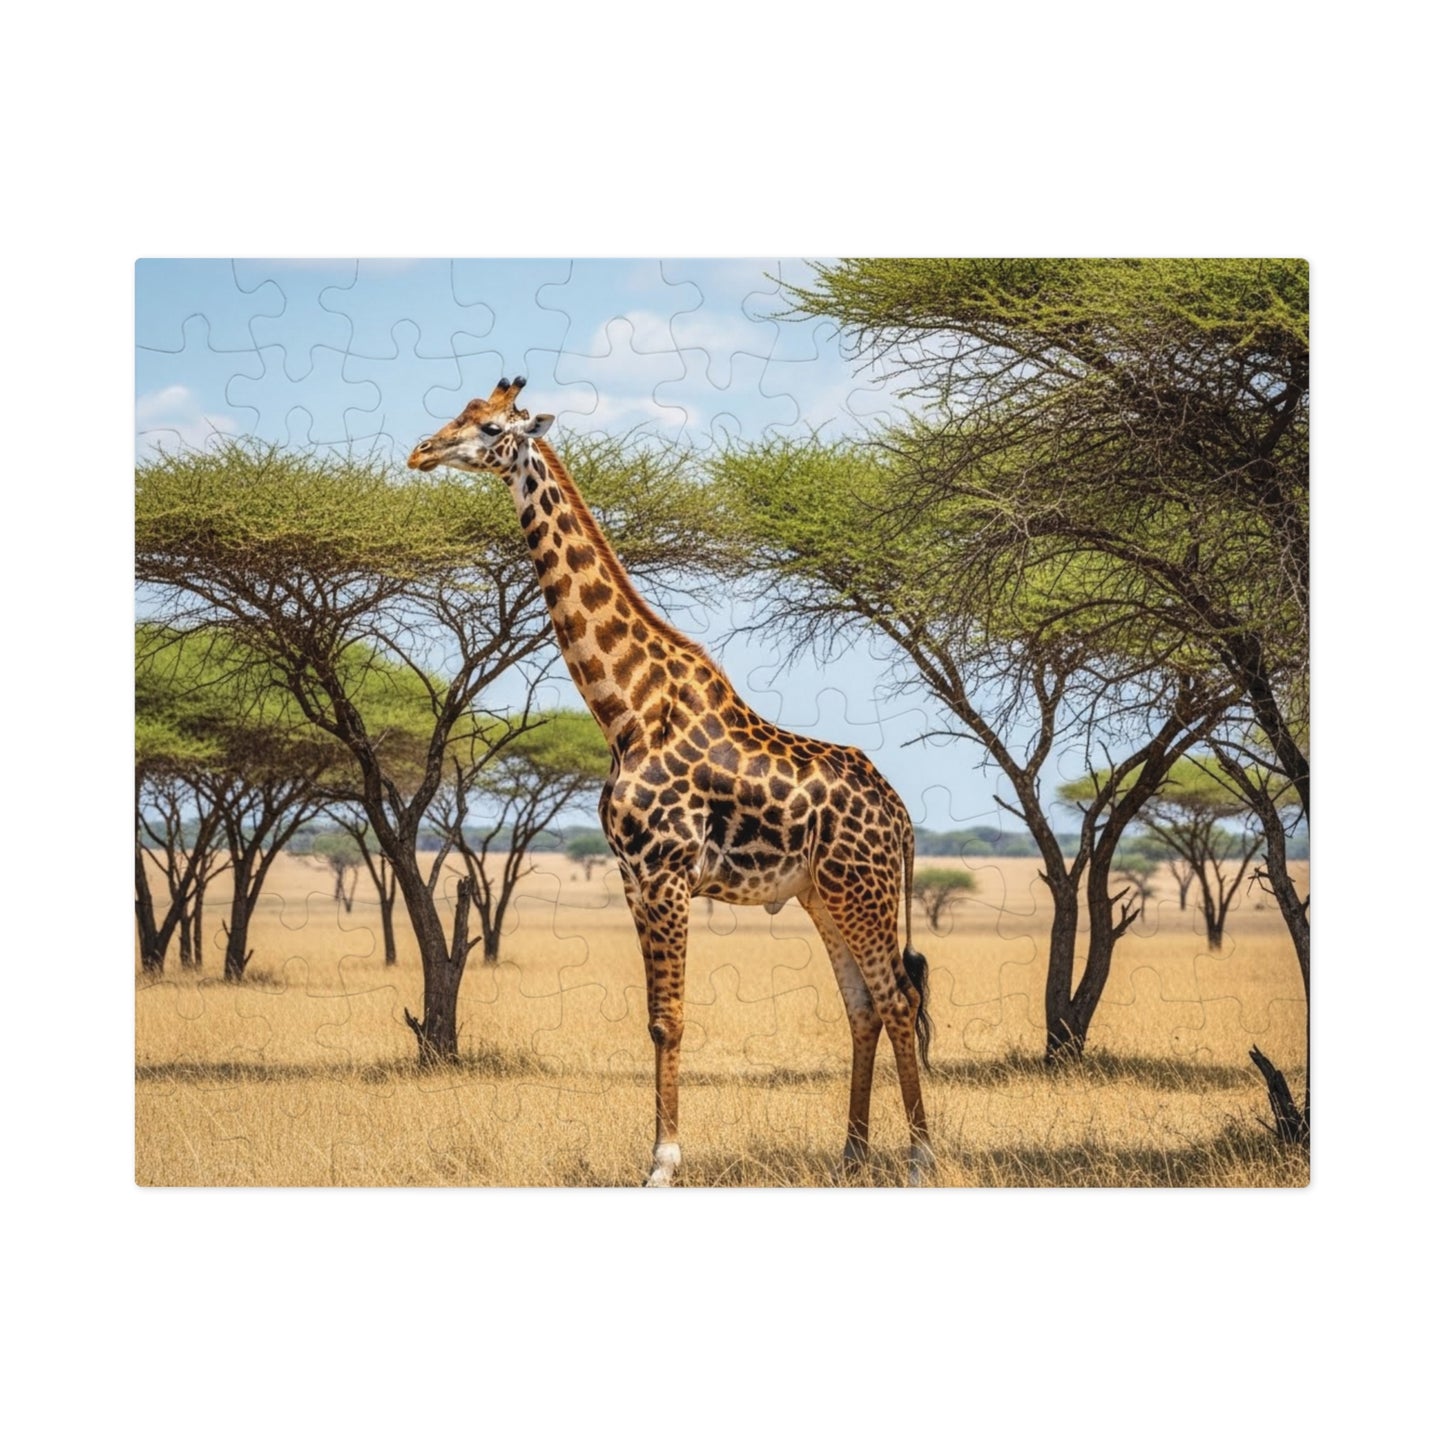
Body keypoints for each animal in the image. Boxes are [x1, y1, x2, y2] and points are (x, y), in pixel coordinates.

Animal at [409, 378, 934, 1185]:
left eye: (491, 428)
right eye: (459, 415)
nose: (421, 452)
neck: (626, 708)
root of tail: (902, 817)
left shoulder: (664, 871)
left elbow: (670, 1018)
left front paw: (663, 1160)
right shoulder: (631, 875)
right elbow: (655, 1019)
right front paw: (659, 1153)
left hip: (862, 890)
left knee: (899, 999)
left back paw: (917, 1157)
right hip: (822, 895)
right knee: (863, 1005)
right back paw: (850, 1153)